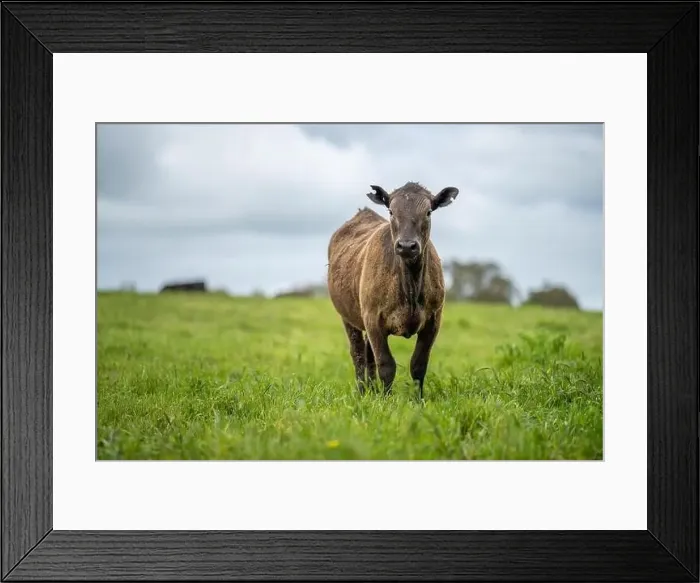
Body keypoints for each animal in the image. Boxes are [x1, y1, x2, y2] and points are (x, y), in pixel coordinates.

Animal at [327, 181, 459, 399]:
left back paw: (371, 390)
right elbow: (386, 364)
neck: (410, 288)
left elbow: (418, 364)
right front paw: (386, 400)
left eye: (428, 212)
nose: (406, 246)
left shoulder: (433, 321)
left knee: (367, 354)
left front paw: (418, 400)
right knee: (358, 355)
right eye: (391, 211)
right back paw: (363, 392)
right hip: (348, 317)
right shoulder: (373, 319)